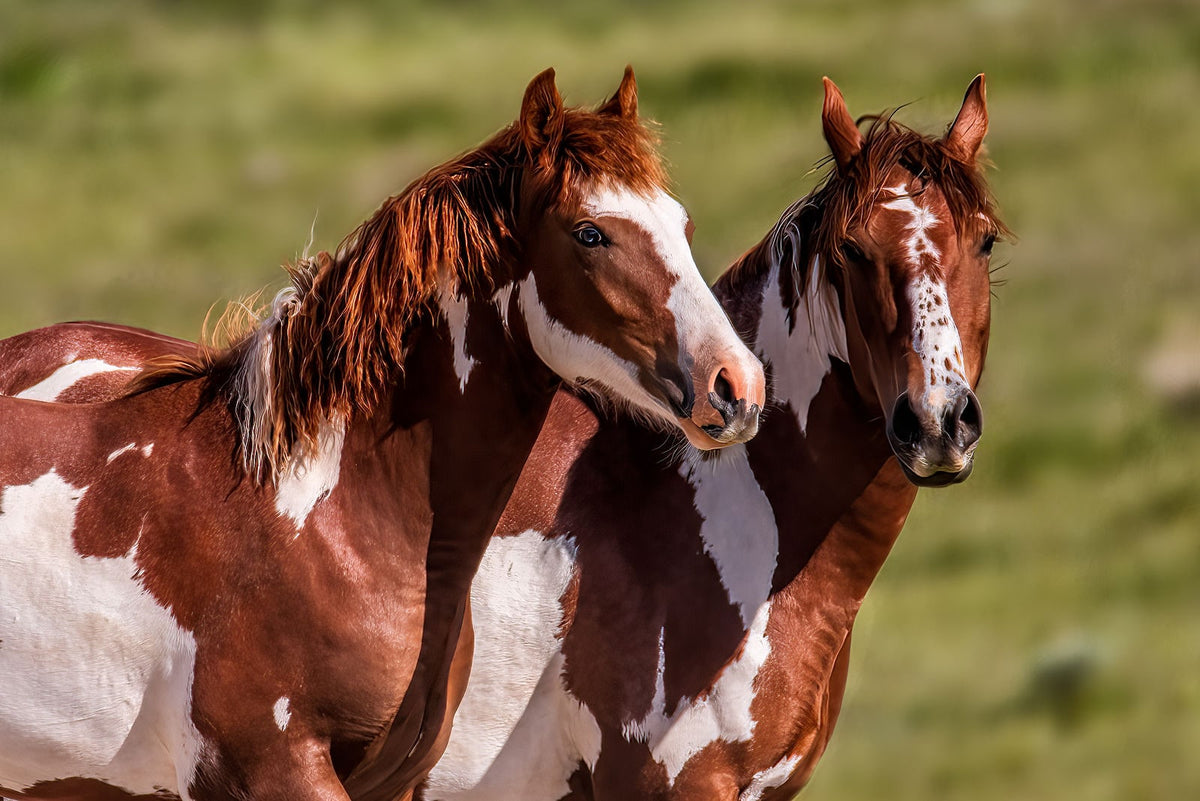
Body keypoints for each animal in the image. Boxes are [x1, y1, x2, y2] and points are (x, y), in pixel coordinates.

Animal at [0, 66, 766, 801]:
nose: (737, 385)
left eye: (681, 224)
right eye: (590, 232)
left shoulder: (393, 782)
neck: (322, 516)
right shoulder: (271, 774)